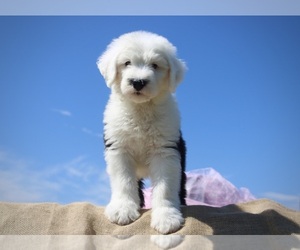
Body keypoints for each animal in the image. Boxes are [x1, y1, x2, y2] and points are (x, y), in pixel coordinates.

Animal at [97, 31, 186, 234]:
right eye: (127, 63)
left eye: (155, 65)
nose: (138, 82)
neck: (140, 109)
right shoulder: (119, 149)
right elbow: (124, 181)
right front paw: (122, 209)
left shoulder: (165, 151)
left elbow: (165, 187)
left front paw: (166, 217)